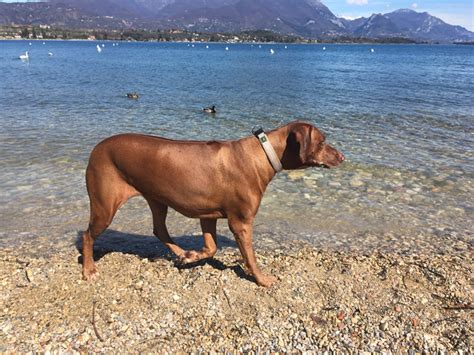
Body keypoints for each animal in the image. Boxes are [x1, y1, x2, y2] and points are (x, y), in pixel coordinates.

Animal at [82, 121, 344, 288]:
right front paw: (261, 279)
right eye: (323, 141)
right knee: (87, 235)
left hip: (157, 198)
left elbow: (211, 248)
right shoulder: (241, 222)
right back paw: (88, 269)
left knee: (159, 229)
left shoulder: (206, 214)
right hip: (105, 205)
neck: (263, 154)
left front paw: (191, 257)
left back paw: (181, 253)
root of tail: (96, 148)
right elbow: (250, 257)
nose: (342, 157)